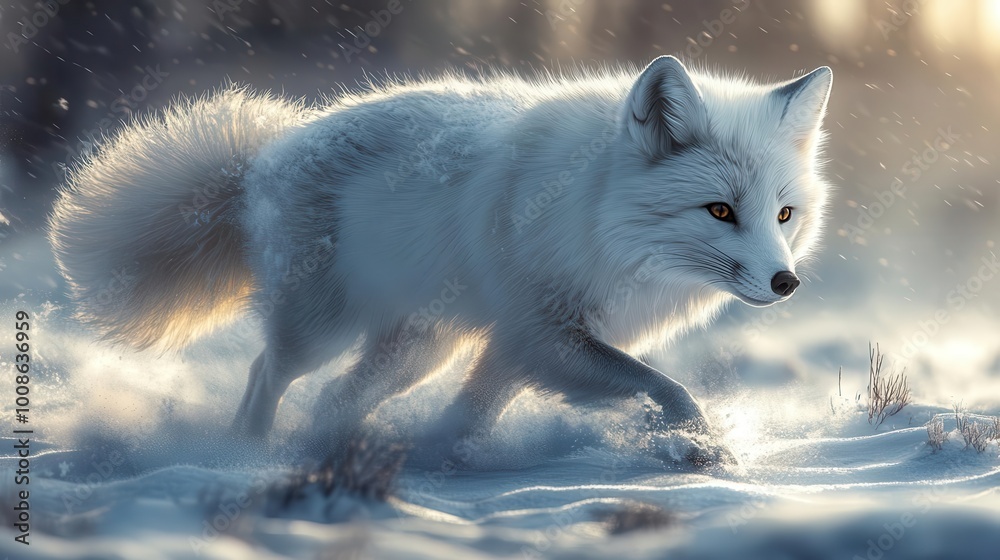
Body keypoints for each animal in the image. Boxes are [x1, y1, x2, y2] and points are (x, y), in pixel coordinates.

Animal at [48, 56, 832, 466]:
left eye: (784, 215)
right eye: (720, 211)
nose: (787, 282)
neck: (592, 217)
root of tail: (262, 159)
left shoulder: (519, 346)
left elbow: (475, 411)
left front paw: (448, 453)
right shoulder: (544, 335)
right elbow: (673, 391)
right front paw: (708, 450)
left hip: (419, 349)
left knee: (333, 398)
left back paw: (327, 450)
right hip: (321, 329)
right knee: (266, 371)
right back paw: (248, 451)